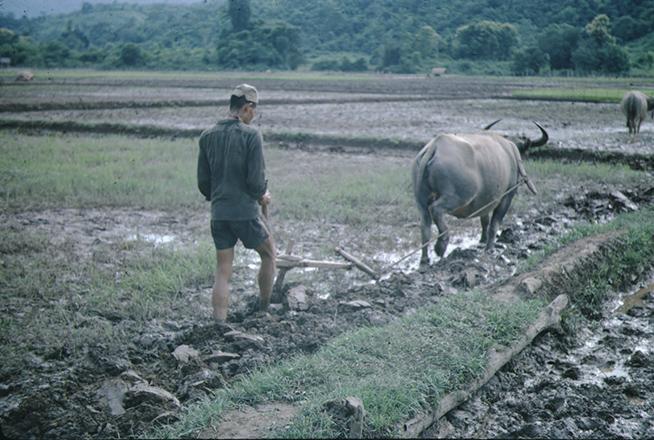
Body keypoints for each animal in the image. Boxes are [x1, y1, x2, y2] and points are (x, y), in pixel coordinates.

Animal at [412, 122, 548, 264]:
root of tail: (435, 146)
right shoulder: (506, 197)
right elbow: (494, 224)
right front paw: (489, 248)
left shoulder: (486, 200)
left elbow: (485, 220)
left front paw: (483, 240)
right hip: (457, 197)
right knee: (436, 210)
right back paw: (441, 246)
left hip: (421, 201)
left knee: (425, 225)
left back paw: (425, 259)